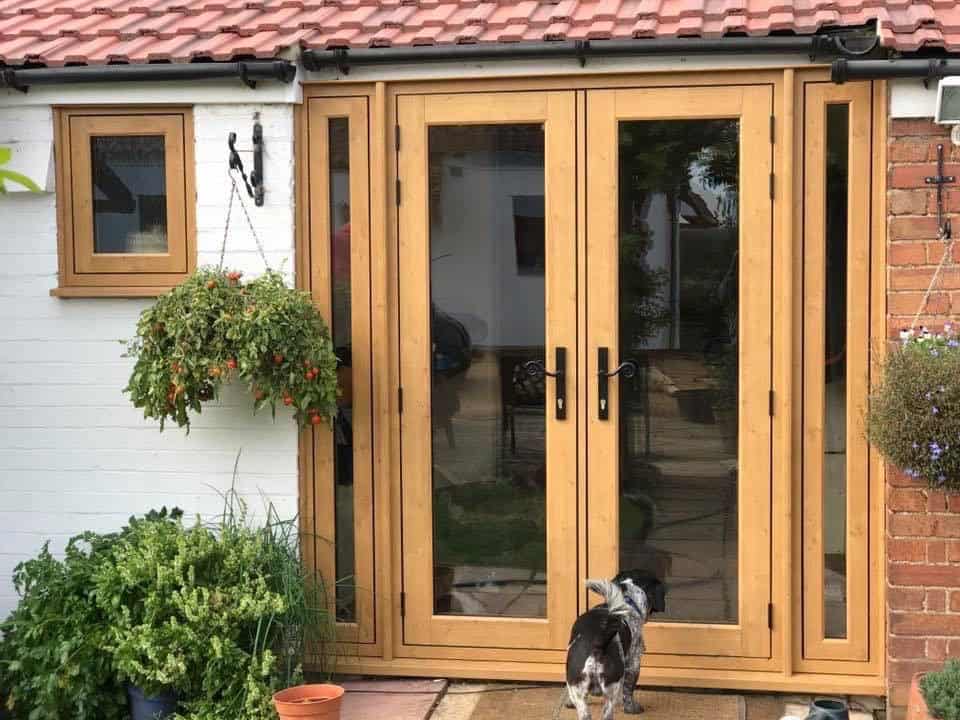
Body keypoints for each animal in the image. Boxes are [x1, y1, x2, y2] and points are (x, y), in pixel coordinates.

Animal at [564, 572, 668, 716]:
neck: (626, 600)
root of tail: (597, 644)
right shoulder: (634, 662)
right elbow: (629, 690)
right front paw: (632, 708)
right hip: (612, 690)